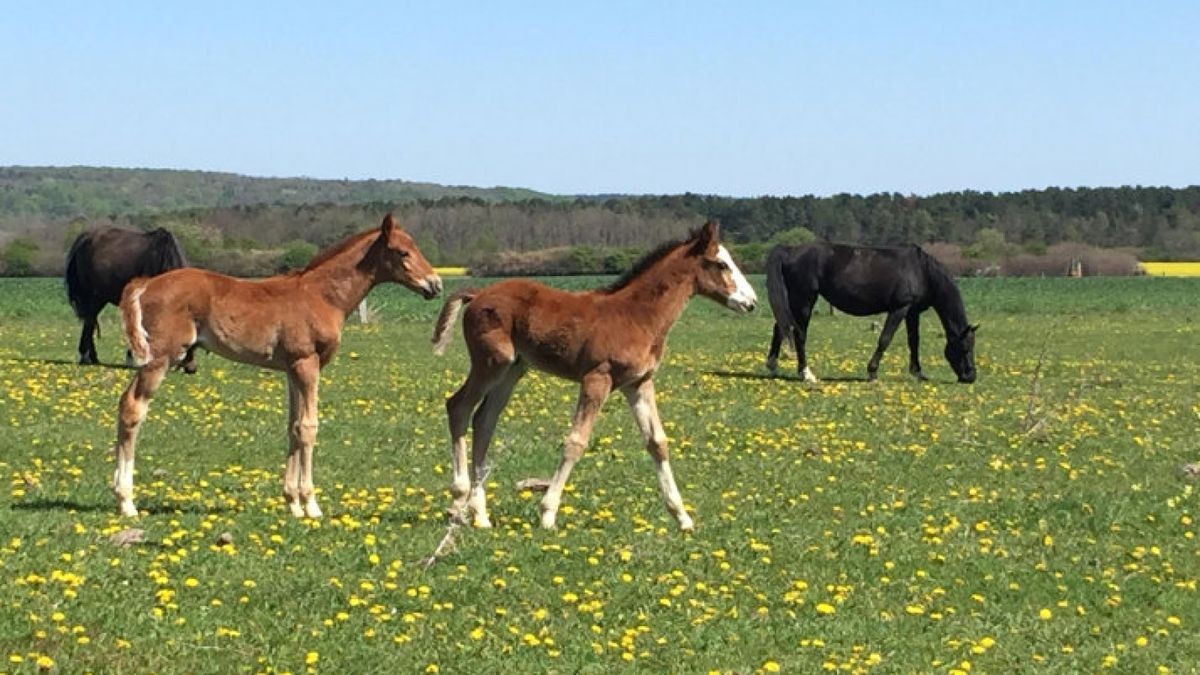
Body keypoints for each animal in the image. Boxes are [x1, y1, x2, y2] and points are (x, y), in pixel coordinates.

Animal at [63, 225, 187, 365]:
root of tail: (84, 239)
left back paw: (93, 357)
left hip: (100, 297)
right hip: (91, 295)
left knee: (91, 320)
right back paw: (86, 356)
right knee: (89, 321)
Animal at [111, 213, 441, 514]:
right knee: (133, 408)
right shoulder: (307, 364)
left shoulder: (292, 369)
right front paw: (311, 505)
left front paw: (292, 503)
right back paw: (126, 501)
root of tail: (145, 285)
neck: (321, 295)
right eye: (402, 252)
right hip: (160, 358)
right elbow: (308, 427)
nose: (435, 284)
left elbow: (293, 426)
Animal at [432, 220, 753, 530]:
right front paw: (548, 514)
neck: (637, 316)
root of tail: (477, 294)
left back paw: (480, 514)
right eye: (721, 264)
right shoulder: (597, 378)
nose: (751, 302)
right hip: (492, 362)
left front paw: (682, 517)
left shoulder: (639, 383)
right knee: (458, 406)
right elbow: (576, 441)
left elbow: (657, 442)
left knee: (484, 420)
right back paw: (459, 499)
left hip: (513, 368)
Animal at [768, 241, 974, 381]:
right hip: (803, 301)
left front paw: (918, 373)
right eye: (965, 347)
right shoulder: (899, 309)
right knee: (799, 334)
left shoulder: (912, 312)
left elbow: (914, 341)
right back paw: (806, 373)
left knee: (780, 327)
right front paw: (872, 372)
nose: (971, 376)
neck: (921, 271)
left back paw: (773, 367)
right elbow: (885, 339)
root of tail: (789, 250)